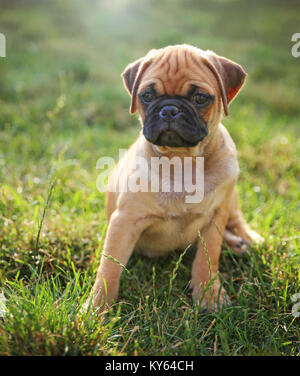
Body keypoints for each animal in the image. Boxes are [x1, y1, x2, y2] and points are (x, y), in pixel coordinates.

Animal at [86, 44, 262, 312]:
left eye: (200, 98)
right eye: (147, 96)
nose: (169, 110)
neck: (181, 162)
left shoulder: (215, 219)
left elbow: (207, 258)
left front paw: (209, 295)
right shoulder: (124, 221)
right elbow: (109, 269)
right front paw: (96, 308)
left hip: (230, 201)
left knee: (237, 220)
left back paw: (244, 239)